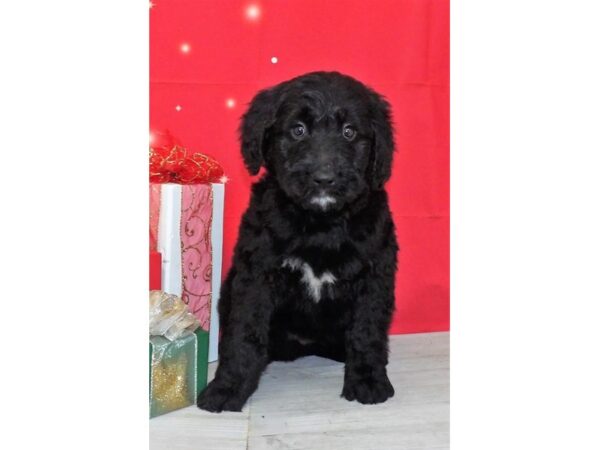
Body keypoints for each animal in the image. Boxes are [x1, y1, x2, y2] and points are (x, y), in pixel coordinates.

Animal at [198, 72, 398, 414]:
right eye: (298, 130)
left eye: (349, 132)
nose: (324, 178)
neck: (320, 223)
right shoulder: (256, 275)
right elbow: (243, 335)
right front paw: (228, 387)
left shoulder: (374, 275)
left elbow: (367, 332)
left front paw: (369, 381)